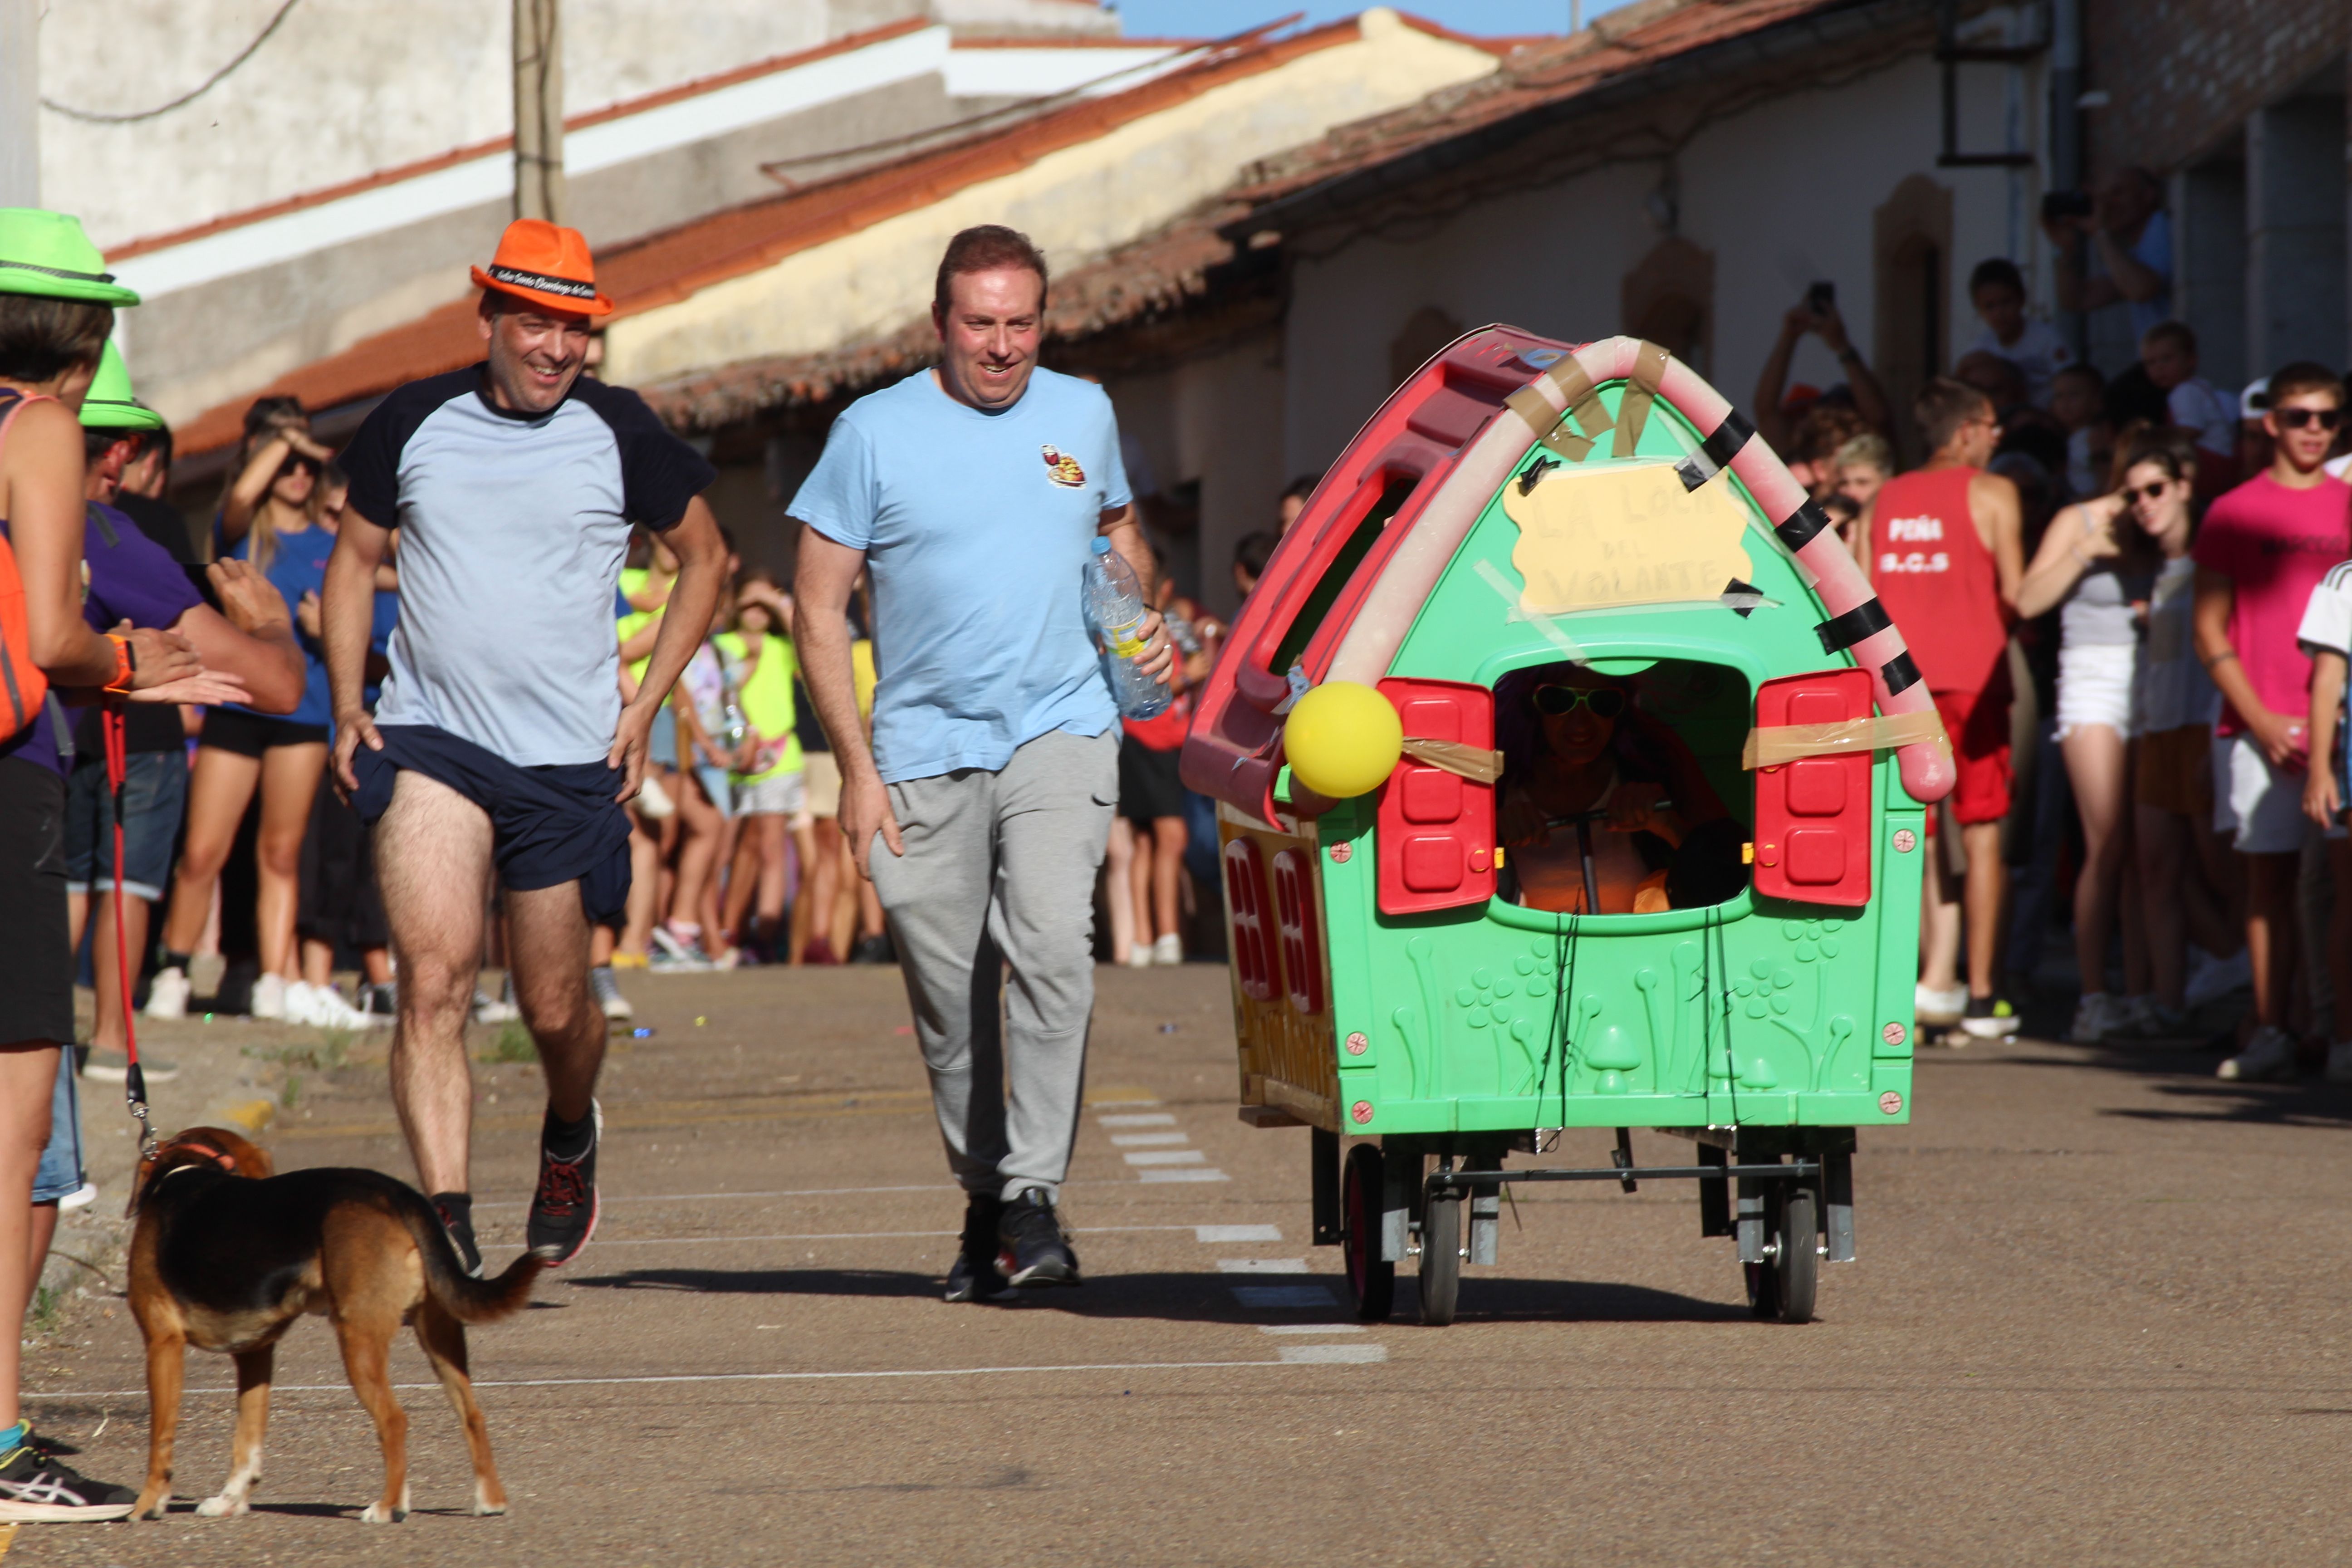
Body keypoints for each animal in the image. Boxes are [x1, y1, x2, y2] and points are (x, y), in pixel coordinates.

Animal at [130, 1133, 550, 1523]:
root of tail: (397, 1194)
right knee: (472, 1415)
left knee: (394, 1421)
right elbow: (247, 1439)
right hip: (440, 1336)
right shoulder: (255, 1354)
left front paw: (147, 1505)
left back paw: (386, 1507)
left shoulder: (162, 1344)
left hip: (357, 1339)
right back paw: (487, 1501)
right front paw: (230, 1500)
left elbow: (159, 1438)